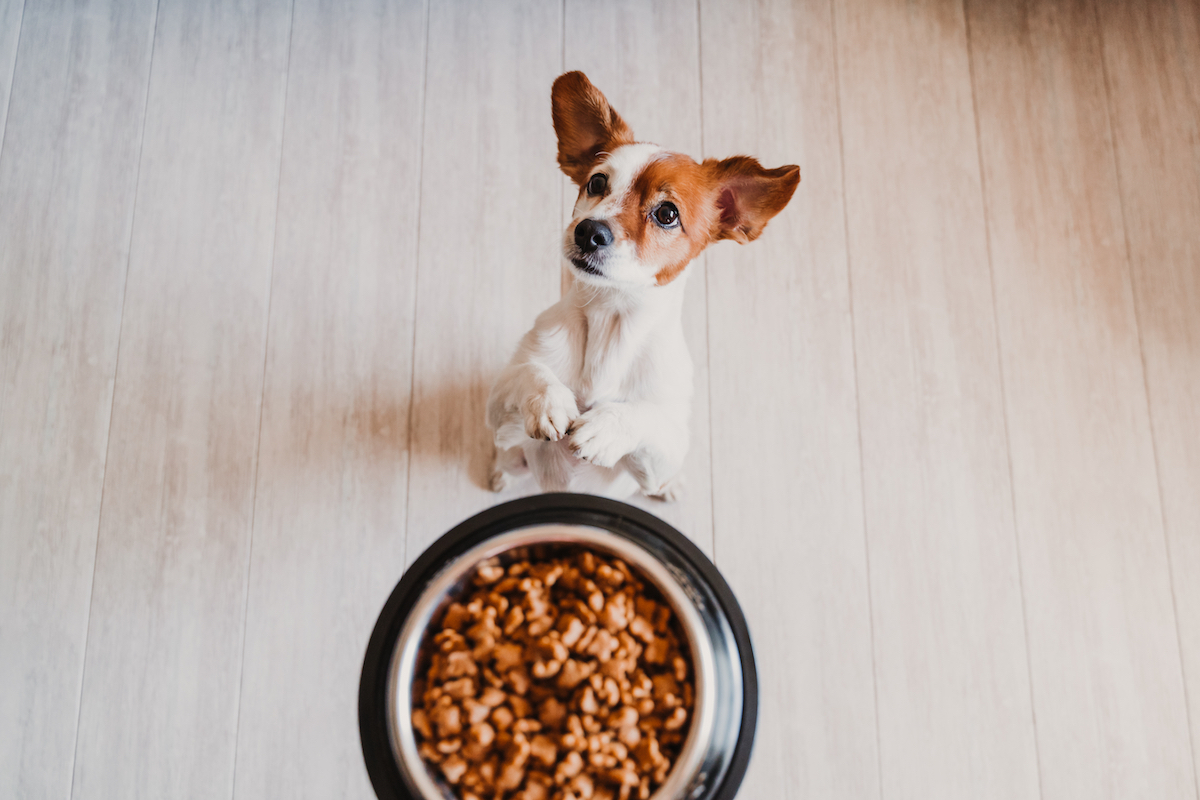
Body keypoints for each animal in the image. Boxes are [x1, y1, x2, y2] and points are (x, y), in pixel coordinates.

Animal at [482, 73, 801, 501]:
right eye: (596, 182)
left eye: (667, 213)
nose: (588, 231)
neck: (610, 318)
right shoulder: (501, 412)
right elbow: (526, 373)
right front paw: (547, 401)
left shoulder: (667, 445)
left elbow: (649, 418)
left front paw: (607, 427)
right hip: (514, 452)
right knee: (508, 458)